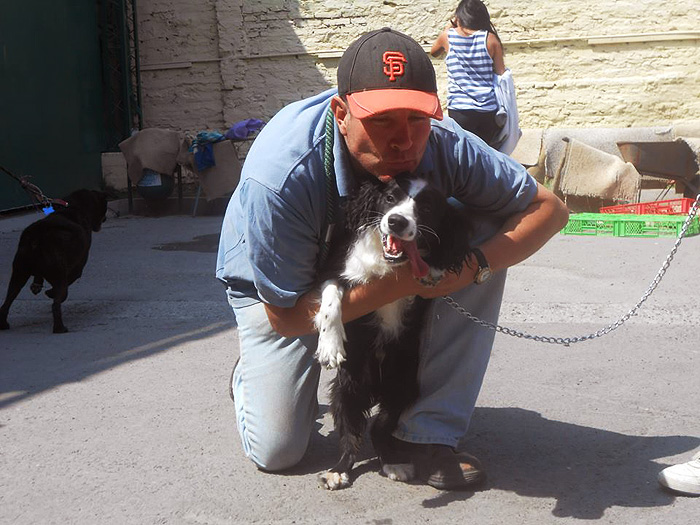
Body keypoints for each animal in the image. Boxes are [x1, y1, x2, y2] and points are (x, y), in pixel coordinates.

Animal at [0, 190, 108, 334]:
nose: (105, 218)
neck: (74, 207)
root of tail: (36, 236)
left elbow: (38, 276)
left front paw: (37, 285)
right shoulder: (76, 269)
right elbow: (70, 279)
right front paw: (48, 291)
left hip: (18, 275)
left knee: (7, 301)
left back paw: (3, 324)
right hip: (58, 276)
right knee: (57, 303)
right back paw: (59, 328)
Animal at [318, 172, 476, 488]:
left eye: (426, 207)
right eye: (390, 198)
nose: (396, 222)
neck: (389, 262)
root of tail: (375, 389)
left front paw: (432, 269)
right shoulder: (336, 272)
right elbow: (331, 298)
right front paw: (330, 346)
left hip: (403, 388)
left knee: (378, 429)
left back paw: (394, 463)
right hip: (347, 389)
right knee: (350, 436)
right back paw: (338, 471)